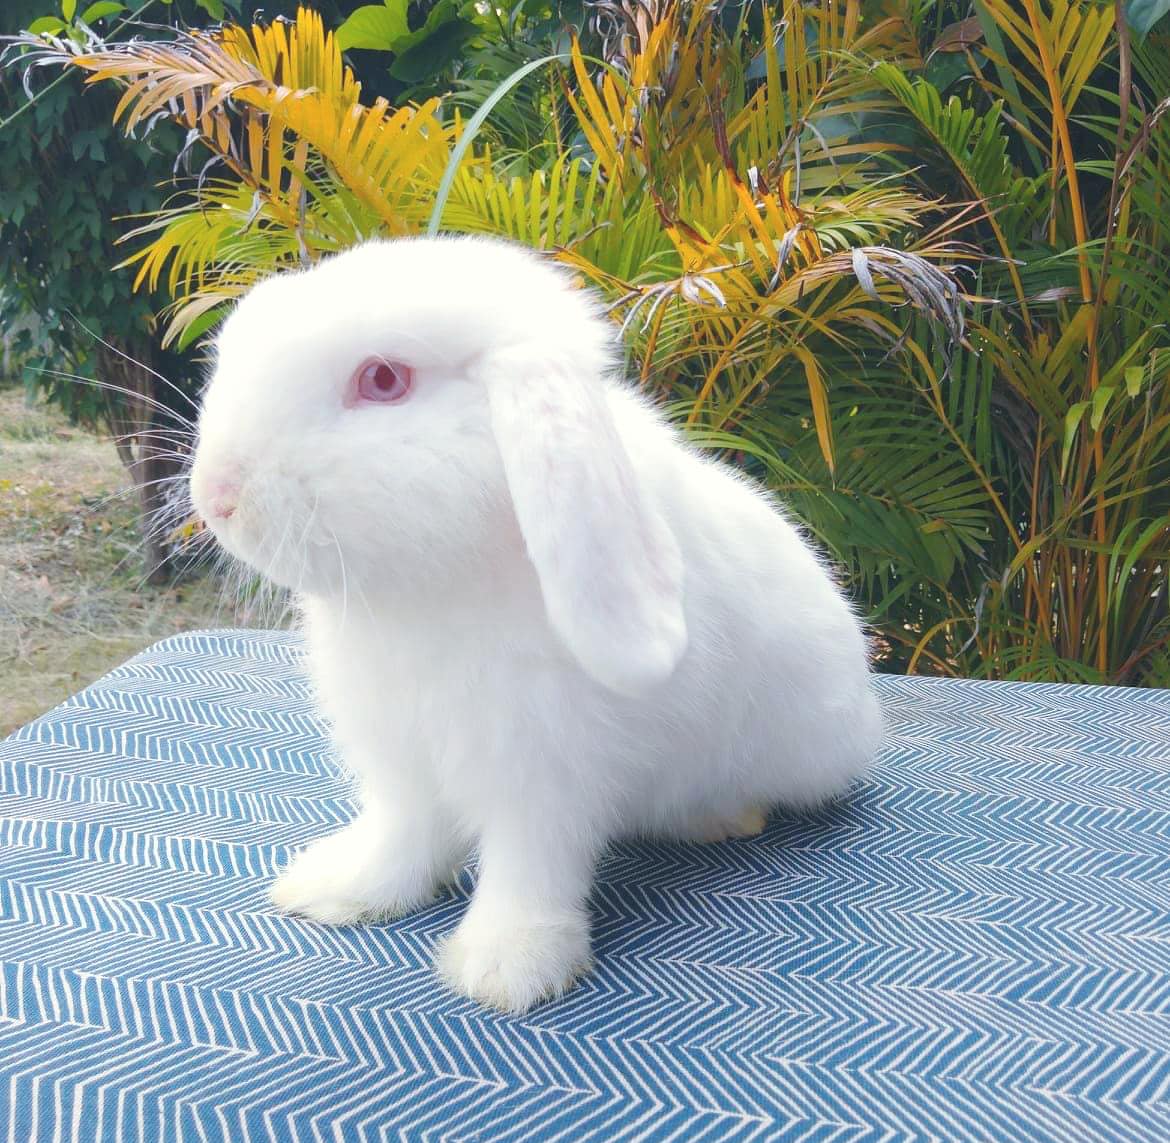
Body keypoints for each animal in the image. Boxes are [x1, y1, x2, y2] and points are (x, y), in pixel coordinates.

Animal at [188, 235, 884, 1014]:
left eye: (383, 379)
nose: (215, 496)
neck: (427, 593)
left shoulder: (545, 773)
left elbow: (528, 869)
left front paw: (507, 967)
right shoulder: (403, 763)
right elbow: (403, 837)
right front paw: (341, 890)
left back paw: (724, 817)